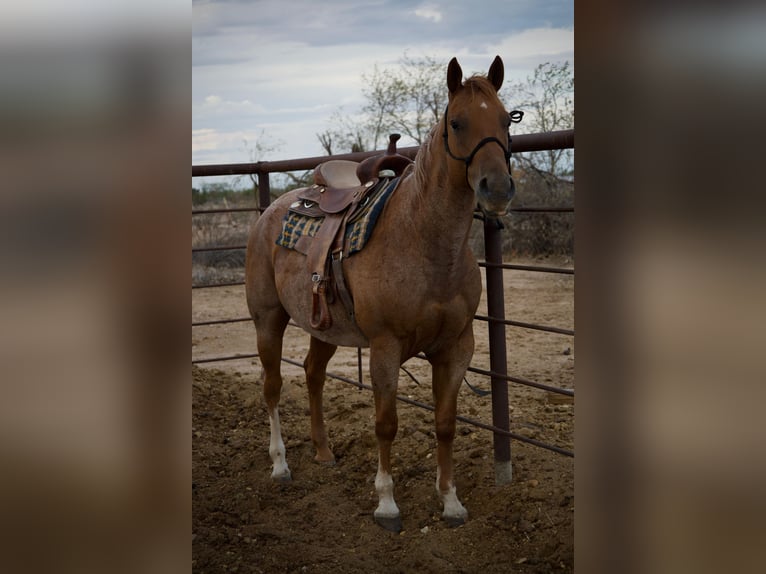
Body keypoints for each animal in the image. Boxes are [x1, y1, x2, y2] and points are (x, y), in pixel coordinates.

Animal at [245, 56, 517, 532]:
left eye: (505, 120)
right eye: (457, 122)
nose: (497, 188)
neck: (424, 243)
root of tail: (270, 212)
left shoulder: (456, 347)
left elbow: (445, 423)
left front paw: (451, 502)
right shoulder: (385, 348)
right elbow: (386, 423)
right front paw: (387, 504)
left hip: (324, 326)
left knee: (313, 374)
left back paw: (323, 451)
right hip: (268, 321)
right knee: (273, 386)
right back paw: (280, 464)